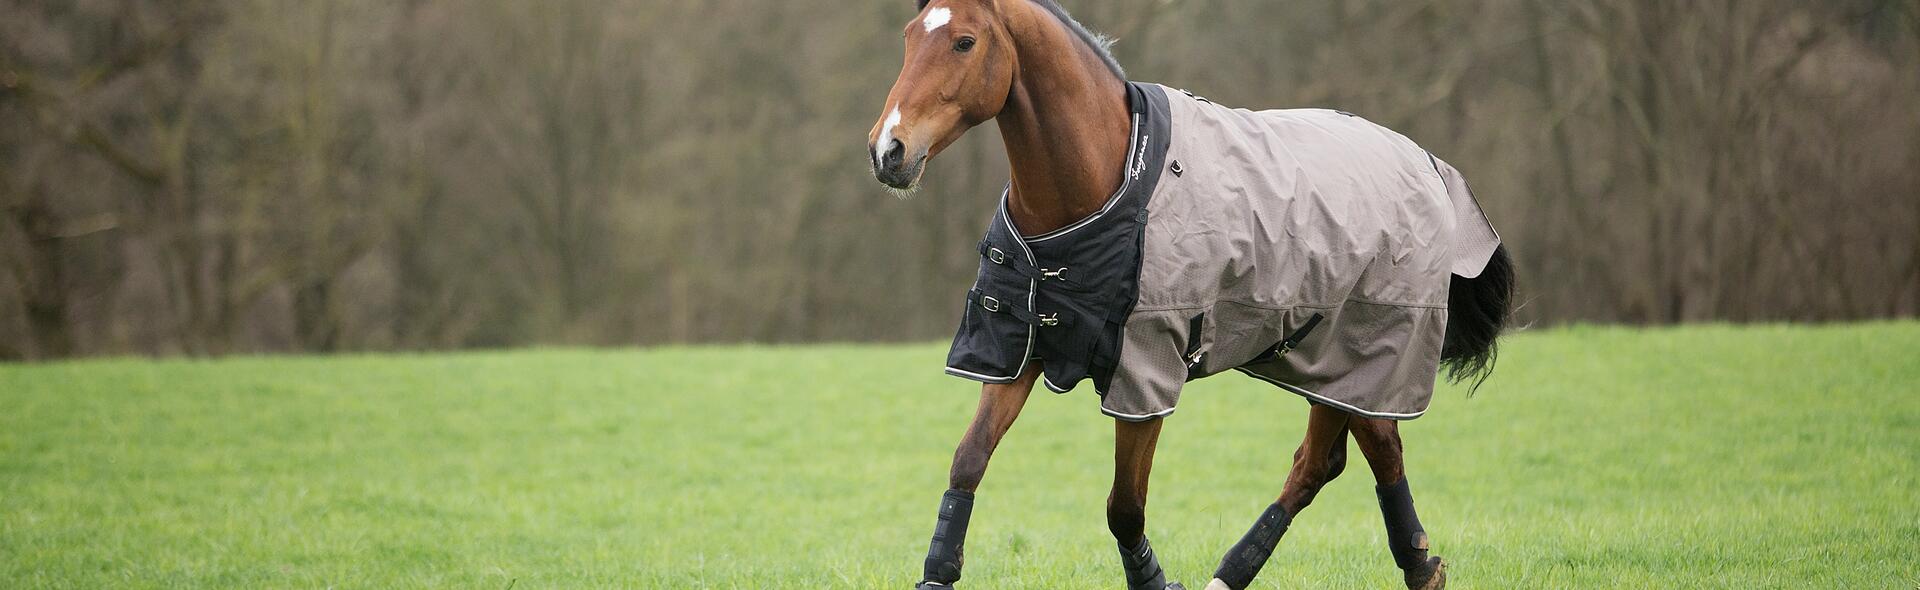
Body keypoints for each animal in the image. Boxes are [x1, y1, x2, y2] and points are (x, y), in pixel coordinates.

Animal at [865, 2, 1515, 589]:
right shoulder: (1015, 347)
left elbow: (1124, 506)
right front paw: (936, 574)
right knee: (1325, 462)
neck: (1104, 185)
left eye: (965, 42)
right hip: (1326, 362)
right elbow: (967, 465)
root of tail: (1427, 163)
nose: (888, 151)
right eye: (908, 36)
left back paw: (1419, 567)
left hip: (1369, 353)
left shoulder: (1145, 373)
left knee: (1370, 452)